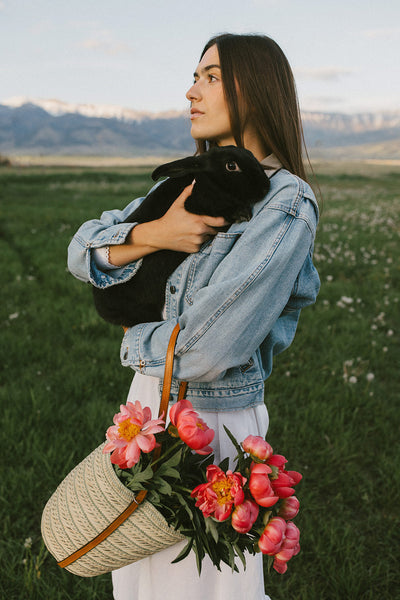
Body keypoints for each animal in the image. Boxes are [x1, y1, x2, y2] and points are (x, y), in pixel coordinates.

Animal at [92, 145, 270, 326]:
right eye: (231, 166)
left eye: (251, 154)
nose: (265, 186)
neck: (208, 182)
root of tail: (101, 308)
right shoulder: (196, 204)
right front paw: (242, 213)